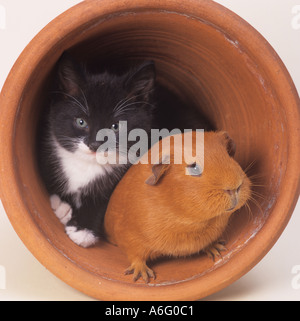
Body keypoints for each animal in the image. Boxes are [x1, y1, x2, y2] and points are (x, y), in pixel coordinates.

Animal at [38, 54, 156, 245]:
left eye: (115, 126)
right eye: (81, 122)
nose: (94, 144)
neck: (87, 165)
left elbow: (106, 199)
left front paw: (82, 229)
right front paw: (62, 206)